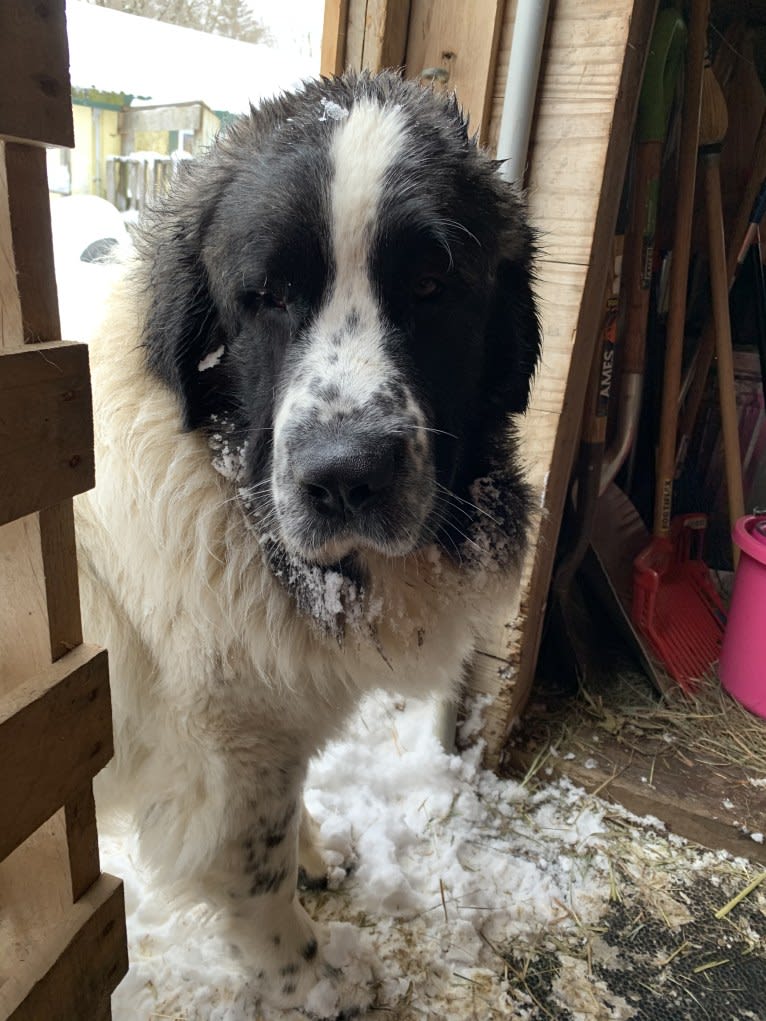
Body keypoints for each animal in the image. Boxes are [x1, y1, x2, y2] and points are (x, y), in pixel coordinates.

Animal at [78, 69, 543, 1012]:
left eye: (431, 286)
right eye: (266, 296)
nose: (345, 475)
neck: (227, 484)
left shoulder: (275, 714)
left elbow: (290, 811)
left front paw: (318, 855)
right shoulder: (227, 746)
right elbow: (253, 869)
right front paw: (315, 976)